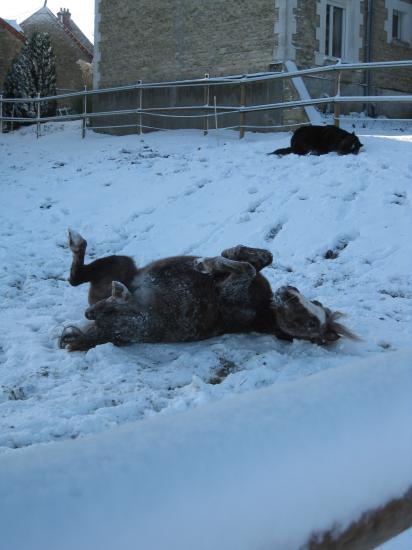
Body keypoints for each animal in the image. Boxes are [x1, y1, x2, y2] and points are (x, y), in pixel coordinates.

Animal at [58, 230, 358, 352]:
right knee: (79, 281)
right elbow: (260, 258)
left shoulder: (231, 291)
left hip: (134, 320)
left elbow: (246, 269)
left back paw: (114, 295)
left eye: (308, 323)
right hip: (123, 264)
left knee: (97, 305)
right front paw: (226, 255)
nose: (288, 292)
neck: (263, 309)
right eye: (313, 302)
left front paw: (207, 262)